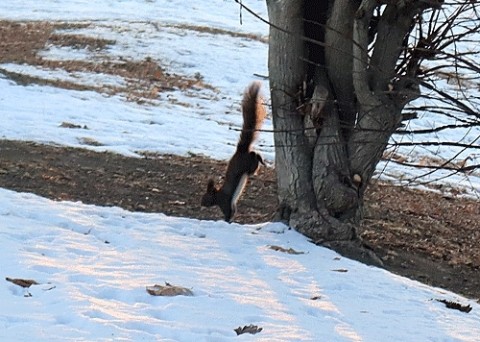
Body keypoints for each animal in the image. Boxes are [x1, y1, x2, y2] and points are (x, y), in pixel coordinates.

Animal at [200, 82, 266, 223]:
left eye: (206, 197)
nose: (201, 203)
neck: (218, 196)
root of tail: (240, 150)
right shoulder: (232, 204)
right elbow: (234, 210)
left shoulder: (225, 203)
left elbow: (228, 213)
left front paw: (227, 221)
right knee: (253, 155)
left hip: (246, 164)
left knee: (253, 157)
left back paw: (261, 160)